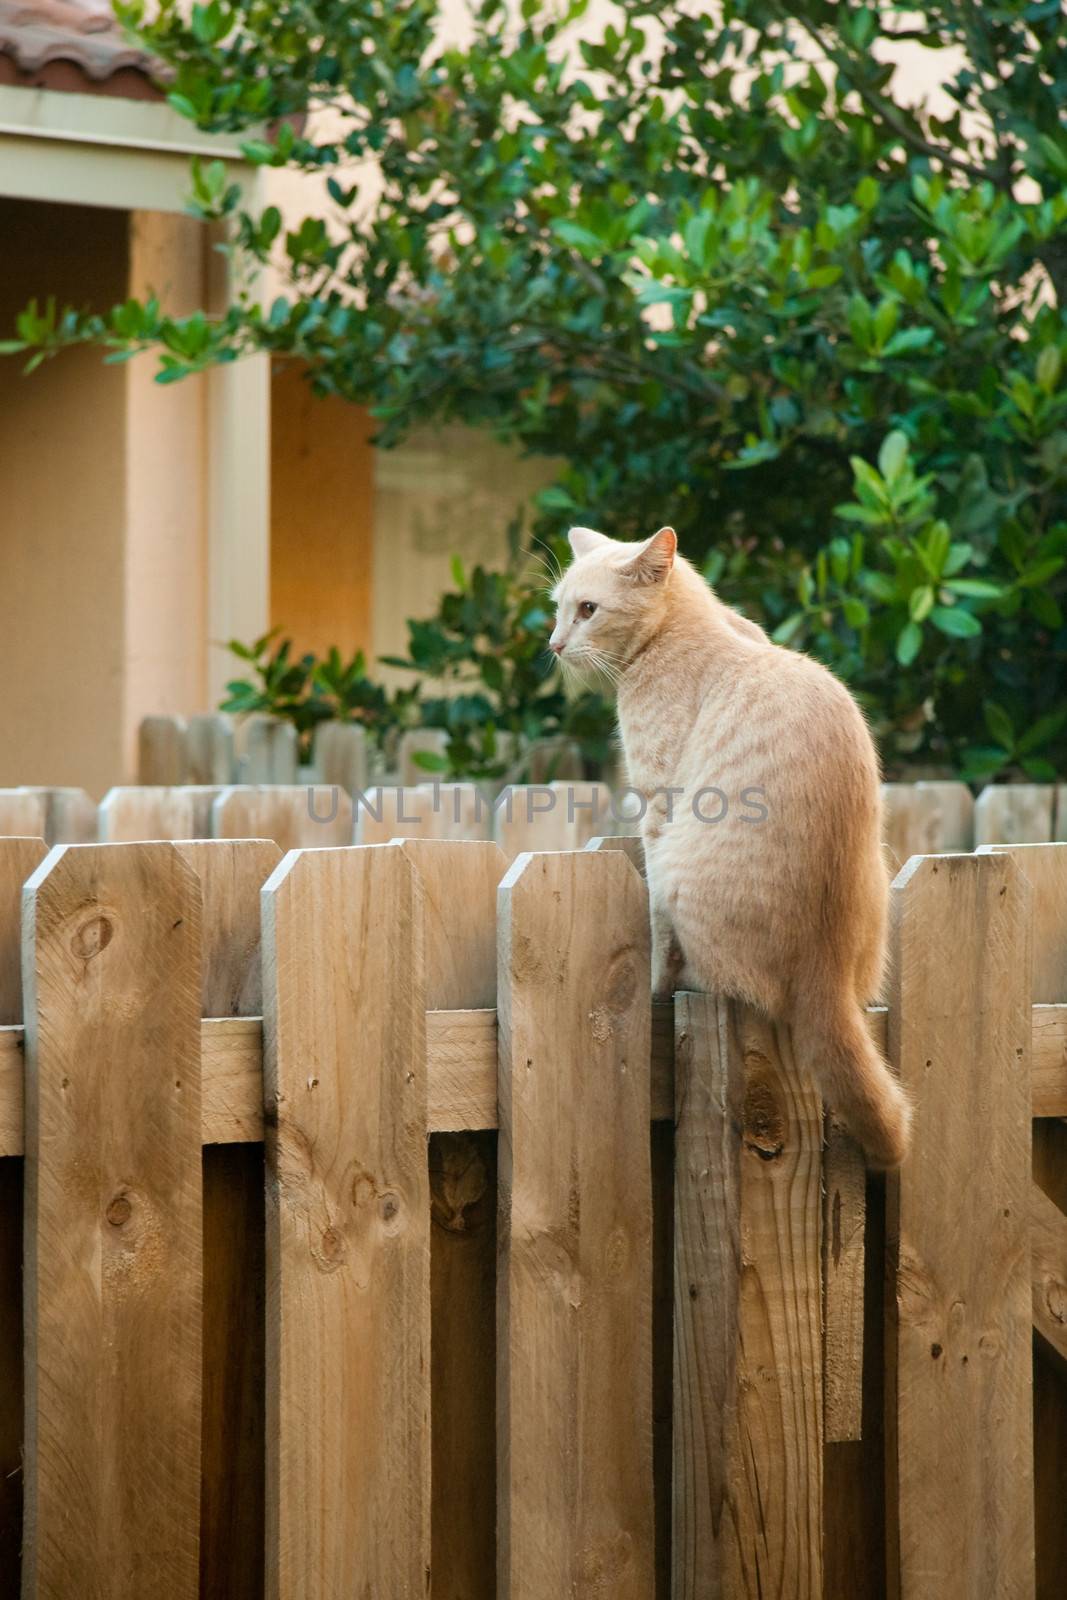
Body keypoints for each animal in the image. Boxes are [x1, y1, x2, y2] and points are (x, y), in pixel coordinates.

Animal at [550, 531, 908, 1171]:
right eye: (558, 608)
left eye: (587, 610)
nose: (555, 643)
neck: (691, 626)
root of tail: (826, 975)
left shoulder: (657, 806)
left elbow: (654, 935)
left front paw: (653, 984)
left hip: (676, 870)